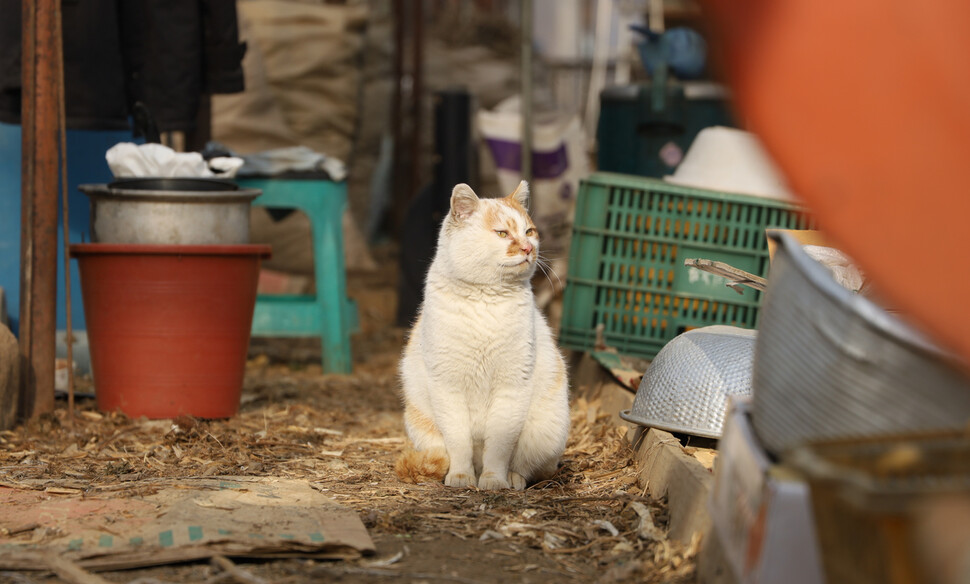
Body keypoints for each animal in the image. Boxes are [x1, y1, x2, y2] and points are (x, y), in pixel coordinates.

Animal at [398, 180, 572, 490]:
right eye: (502, 233)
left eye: (529, 231)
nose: (528, 248)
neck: (486, 300)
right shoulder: (447, 386)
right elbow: (459, 443)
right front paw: (461, 477)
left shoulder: (511, 386)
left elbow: (499, 448)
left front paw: (494, 480)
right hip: (419, 420)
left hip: (547, 430)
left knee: (529, 467)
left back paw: (513, 479)